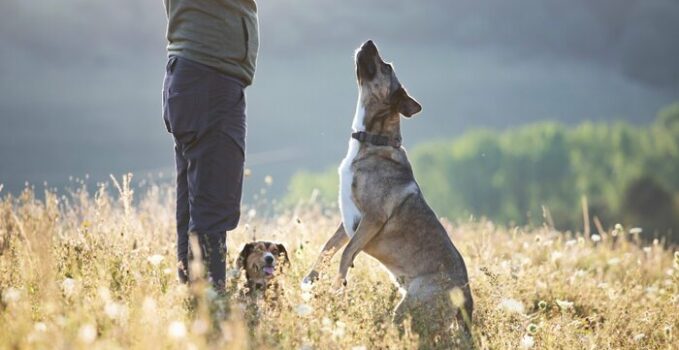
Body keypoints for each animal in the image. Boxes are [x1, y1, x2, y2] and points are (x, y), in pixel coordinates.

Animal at [306, 39, 476, 340]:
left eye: (386, 67)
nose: (369, 42)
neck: (373, 140)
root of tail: (465, 302)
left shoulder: (371, 219)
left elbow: (346, 253)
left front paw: (337, 289)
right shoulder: (347, 220)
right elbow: (328, 248)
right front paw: (311, 278)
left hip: (410, 306)